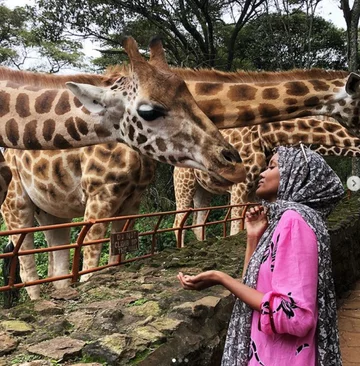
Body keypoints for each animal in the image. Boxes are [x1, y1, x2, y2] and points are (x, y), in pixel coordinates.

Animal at [172, 117, 360, 247]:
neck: (269, 135)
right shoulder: (240, 188)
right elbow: (235, 228)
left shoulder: (254, 189)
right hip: (184, 183)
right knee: (178, 222)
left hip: (203, 190)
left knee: (198, 223)